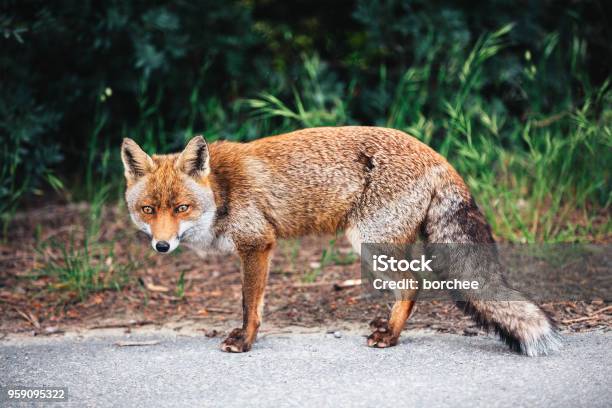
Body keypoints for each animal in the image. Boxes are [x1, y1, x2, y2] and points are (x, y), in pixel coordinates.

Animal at [122, 126, 560, 356]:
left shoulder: (257, 244)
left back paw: (390, 337)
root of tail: (437, 155)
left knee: (413, 283)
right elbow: (251, 303)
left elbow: (250, 306)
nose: (162, 247)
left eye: (181, 208)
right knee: (410, 285)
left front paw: (245, 341)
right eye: (149, 209)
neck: (222, 190)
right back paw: (387, 325)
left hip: (369, 243)